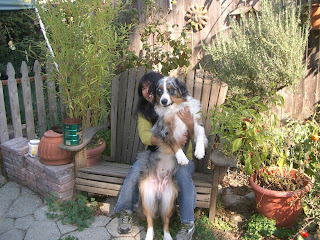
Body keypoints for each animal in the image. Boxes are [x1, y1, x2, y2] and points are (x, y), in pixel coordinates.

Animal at [139, 76, 209, 239]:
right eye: (159, 91)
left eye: (171, 90)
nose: (163, 101)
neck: (174, 108)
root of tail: (158, 190)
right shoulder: (164, 130)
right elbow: (175, 144)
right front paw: (182, 158)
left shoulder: (194, 120)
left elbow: (200, 134)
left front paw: (200, 151)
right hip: (147, 198)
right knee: (150, 220)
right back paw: (149, 235)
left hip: (169, 202)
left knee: (165, 222)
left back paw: (168, 236)